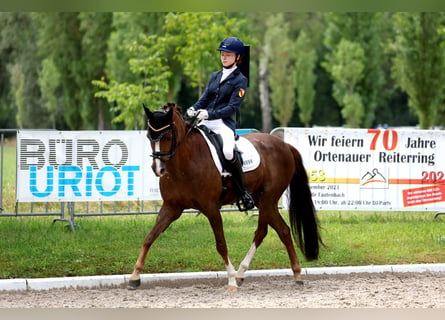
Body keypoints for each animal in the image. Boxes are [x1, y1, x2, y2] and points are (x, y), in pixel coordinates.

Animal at [126, 102, 320, 292]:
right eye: (149, 137)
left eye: (166, 137)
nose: (158, 169)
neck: (185, 163)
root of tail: (284, 145)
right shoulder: (171, 207)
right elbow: (149, 237)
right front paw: (134, 277)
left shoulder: (211, 208)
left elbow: (221, 244)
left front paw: (231, 281)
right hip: (265, 201)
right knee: (283, 231)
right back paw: (294, 275)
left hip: (268, 199)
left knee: (262, 232)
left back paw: (243, 274)